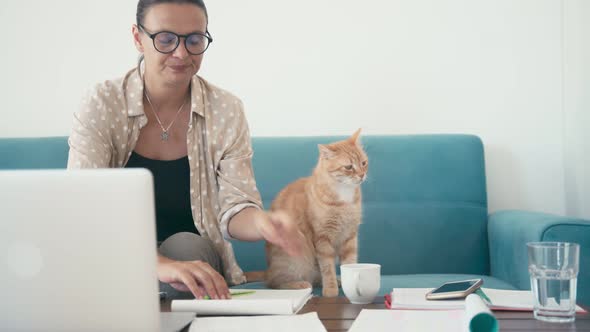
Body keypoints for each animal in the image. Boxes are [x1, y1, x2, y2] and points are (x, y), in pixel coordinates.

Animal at [264, 128, 368, 296]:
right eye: (348, 167)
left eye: (364, 163)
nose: (362, 175)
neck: (344, 197)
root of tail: (267, 270)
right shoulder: (322, 237)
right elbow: (327, 268)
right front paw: (331, 289)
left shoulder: (350, 235)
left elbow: (350, 262)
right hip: (293, 261)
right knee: (273, 283)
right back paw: (298, 284)